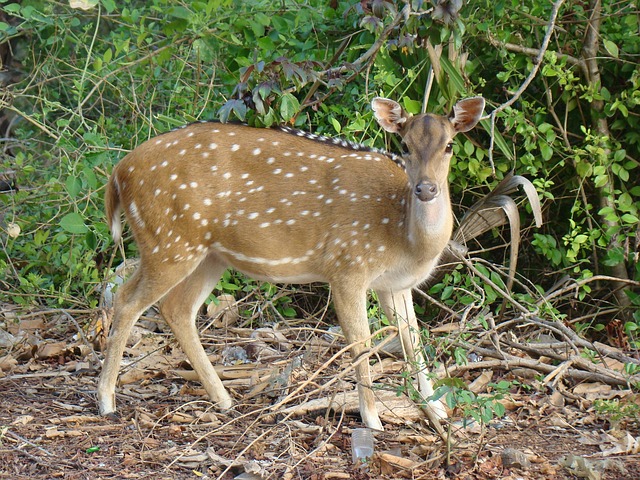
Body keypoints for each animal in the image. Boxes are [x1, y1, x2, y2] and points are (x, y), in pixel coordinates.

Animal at [97, 96, 482, 432]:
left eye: (449, 145)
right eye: (404, 145)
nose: (426, 189)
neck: (405, 239)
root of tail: (118, 173)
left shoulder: (395, 285)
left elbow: (412, 340)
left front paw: (438, 411)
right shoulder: (347, 266)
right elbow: (360, 343)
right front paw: (373, 421)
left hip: (207, 254)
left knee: (176, 309)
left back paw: (223, 399)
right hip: (169, 241)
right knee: (127, 300)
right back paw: (106, 401)